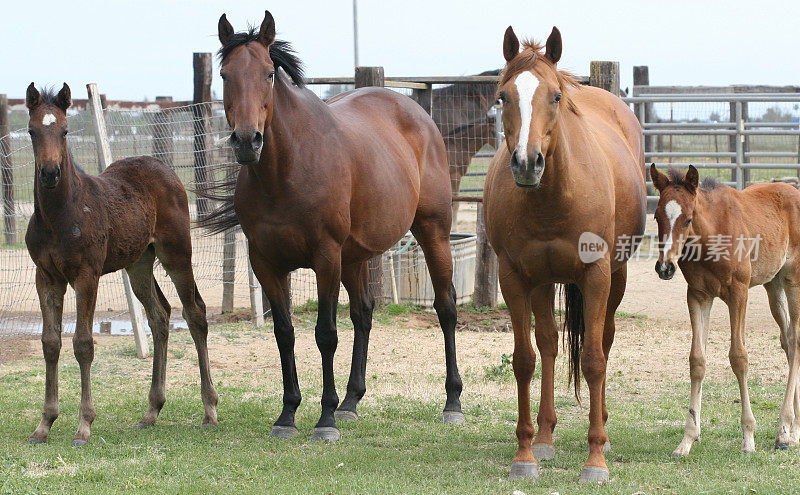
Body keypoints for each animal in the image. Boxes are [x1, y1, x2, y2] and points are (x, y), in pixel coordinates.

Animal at [25, 83, 219, 448]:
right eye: (31, 131)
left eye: (65, 130)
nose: (50, 173)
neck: (61, 215)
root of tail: (166, 170)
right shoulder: (46, 277)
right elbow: (50, 343)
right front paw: (44, 424)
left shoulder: (86, 275)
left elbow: (83, 344)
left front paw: (84, 426)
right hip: (139, 263)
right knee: (160, 315)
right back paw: (152, 410)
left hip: (177, 253)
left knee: (195, 313)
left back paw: (210, 410)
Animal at [200, 9, 462, 440]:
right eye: (224, 74)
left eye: (268, 73)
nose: (246, 141)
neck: (286, 171)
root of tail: (416, 112)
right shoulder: (266, 263)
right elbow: (284, 333)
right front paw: (288, 413)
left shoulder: (325, 257)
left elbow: (325, 334)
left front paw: (324, 418)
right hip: (354, 257)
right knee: (364, 313)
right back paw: (351, 402)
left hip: (433, 233)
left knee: (446, 307)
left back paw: (452, 402)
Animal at [484, 26, 648, 480]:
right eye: (503, 96)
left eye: (555, 96)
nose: (526, 163)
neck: (553, 198)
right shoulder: (514, 277)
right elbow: (524, 360)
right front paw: (524, 455)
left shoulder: (596, 276)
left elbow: (592, 360)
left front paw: (596, 460)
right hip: (542, 282)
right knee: (549, 345)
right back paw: (544, 437)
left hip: (616, 277)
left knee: (603, 342)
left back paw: (602, 429)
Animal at [652, 166, 800, 458]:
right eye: (656, 216)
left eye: (687, 219)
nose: (665, 267)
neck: (710, 236)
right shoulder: (698, 295)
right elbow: (697, 360)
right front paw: (688, 439)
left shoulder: (738, 293)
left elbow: (738, 358)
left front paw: (748, 437)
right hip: (774, 283)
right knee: (788, 341)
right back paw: (794, 431)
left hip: (792, 279)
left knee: (797, 340)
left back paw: (783, 431)